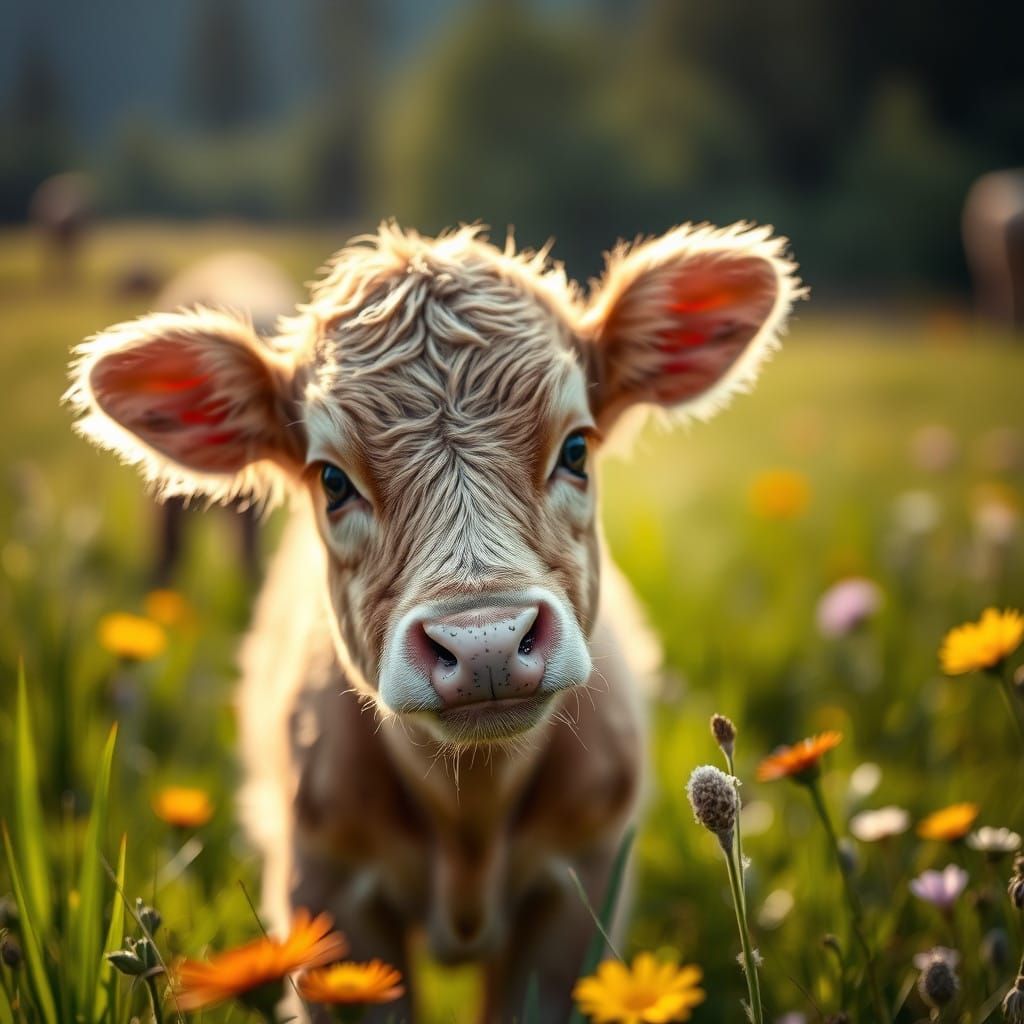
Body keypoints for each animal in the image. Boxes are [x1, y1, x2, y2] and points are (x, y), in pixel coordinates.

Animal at [67, 222, 802, 1022]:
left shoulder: (581, 888)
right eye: (332, 480)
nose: (485, 643)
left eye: (576, 448)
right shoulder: (327, 894)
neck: (469, 818)